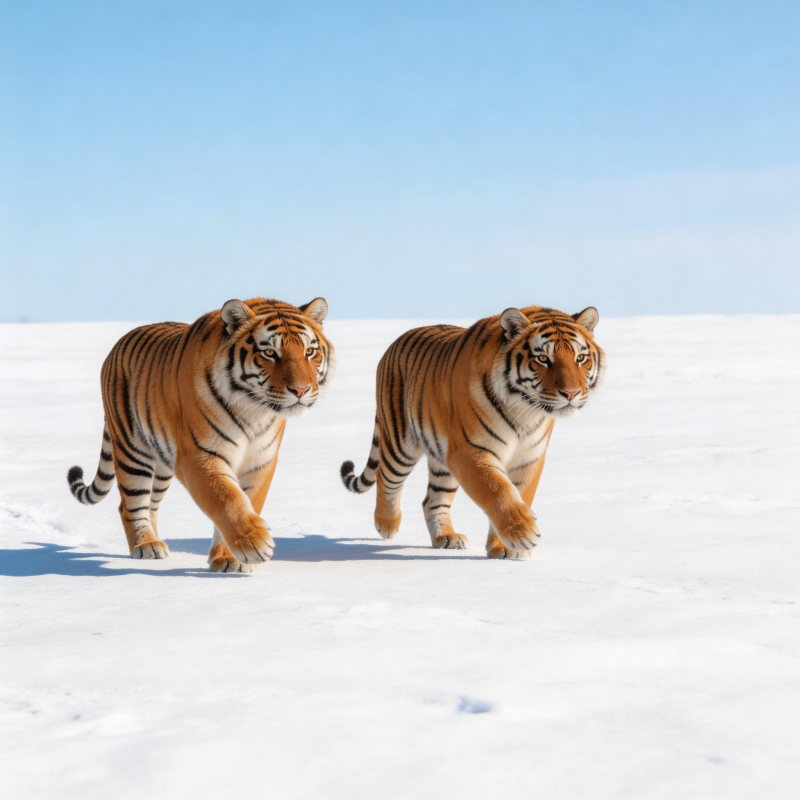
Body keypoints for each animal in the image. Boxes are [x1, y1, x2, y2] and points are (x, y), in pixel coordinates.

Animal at [67, 296, 334, 573]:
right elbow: (226, 500)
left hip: (162, 465)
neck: (253, 410)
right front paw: (254, 544)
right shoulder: (199, 455)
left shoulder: (261, 460)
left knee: (151, 504)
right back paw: (146, 545)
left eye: (309, 352)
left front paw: (230, 560)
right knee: (129, 505)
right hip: (133, 451)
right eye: (269, 353)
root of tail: (117, 345)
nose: (301, 390)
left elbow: (248, 500)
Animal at [340, 305, 605, 558]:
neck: (524, 412)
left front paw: (507, 548)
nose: (571, 393)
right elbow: (497, 490)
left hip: (442, 459)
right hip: (400, 444)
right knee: (386, 478)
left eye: (580, 357)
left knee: (432, 500)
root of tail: (393, 344)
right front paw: (523, 533)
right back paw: (387, 524)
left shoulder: (528, 457)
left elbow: (519, 493)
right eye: (542, 358)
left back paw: (446, 537)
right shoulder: (470, 450)